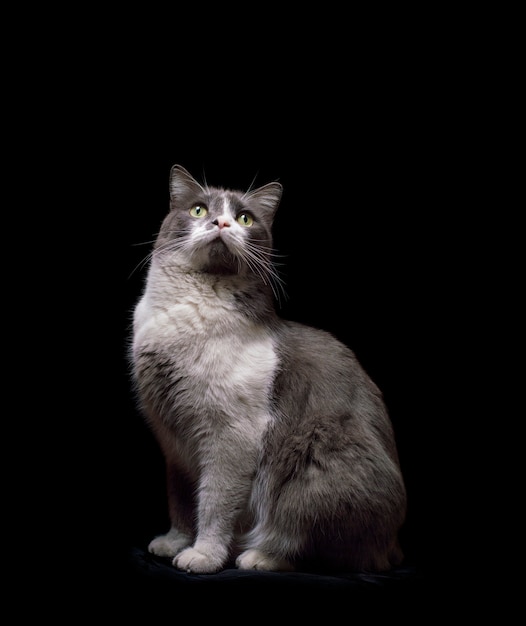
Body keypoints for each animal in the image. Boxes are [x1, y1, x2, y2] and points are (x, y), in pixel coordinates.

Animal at [130, 163, 410, 572]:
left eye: (245, 218)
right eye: (198, 210)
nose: (221, 222)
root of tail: (394, 545)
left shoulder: (231, 436)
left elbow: (214, 502)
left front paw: (203, 555)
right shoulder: (173, 443)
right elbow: (180, 498)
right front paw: (174, 541)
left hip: (314, 469)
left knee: (313, 546)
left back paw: (257, 556)